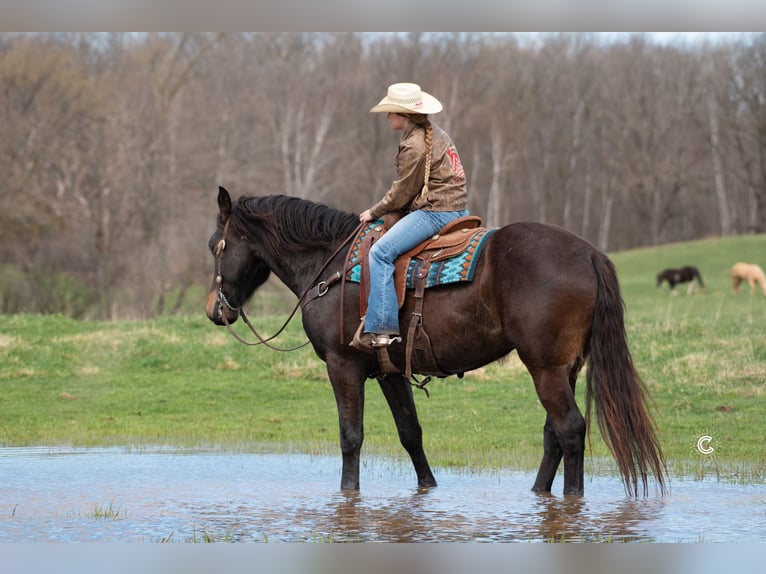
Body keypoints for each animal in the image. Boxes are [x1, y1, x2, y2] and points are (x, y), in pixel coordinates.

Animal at [204, 189, 664, 500]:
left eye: (214, 246)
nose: (214, 309)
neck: (330, 266)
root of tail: (589, 254)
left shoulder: (343, 365)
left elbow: (350, 436)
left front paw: (348, 495)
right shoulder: (388, 371)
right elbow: (411, 433)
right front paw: (427, 489)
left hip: (546, 370)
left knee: (569, 429)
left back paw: (571, 500)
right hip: (566, 368)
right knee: (554, 433)